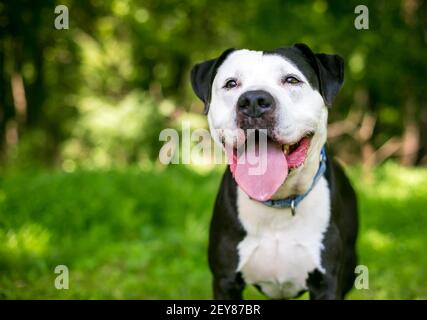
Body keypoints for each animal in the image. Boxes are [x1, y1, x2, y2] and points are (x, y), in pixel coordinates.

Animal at [190, 43, 358, 300]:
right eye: (231, 83)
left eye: (291, 80)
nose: (253, 101)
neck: (277, 202)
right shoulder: (225, 282)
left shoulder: (327, 283)